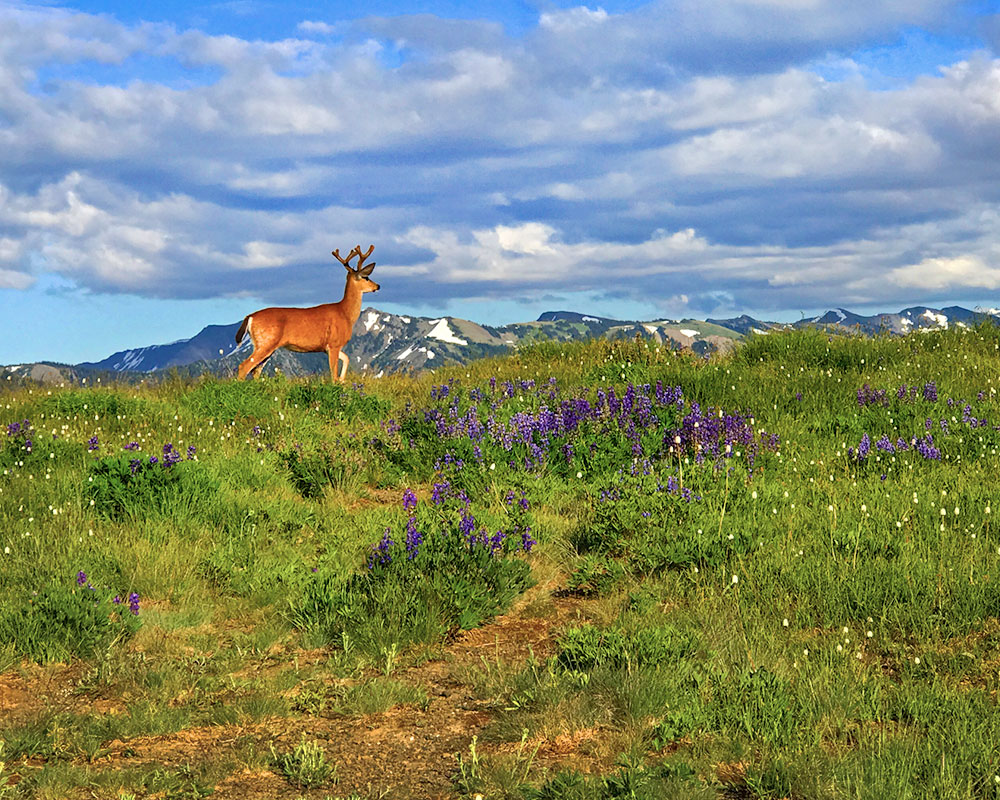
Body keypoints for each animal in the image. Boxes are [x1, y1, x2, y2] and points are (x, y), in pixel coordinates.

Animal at [234, 244, 378, 382]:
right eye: (366, 277)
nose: (378, 286)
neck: (345, 313)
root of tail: (250, 317)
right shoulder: (334, 343)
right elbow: (334, 374)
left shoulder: (326, 348)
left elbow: (346, 359)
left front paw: (343, 381)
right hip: (266, 342)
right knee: (244, 366)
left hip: (264, 345)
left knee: (256, 370)